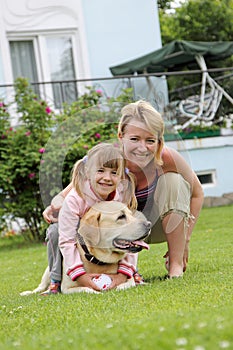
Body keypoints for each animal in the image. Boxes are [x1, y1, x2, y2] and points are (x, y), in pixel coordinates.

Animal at [20, 201, 151, 294]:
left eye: (131, 214)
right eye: (121, 217)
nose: (149, 224)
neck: (98, 261)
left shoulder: (129, 280)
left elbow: (124, 285)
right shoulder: (67, 288)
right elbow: (86, 289)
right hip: (47, 272)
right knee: (41, 286)